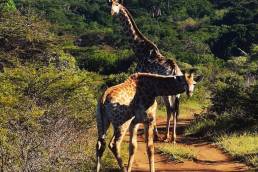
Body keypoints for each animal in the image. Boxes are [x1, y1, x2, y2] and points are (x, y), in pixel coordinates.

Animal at [109, 0, 183, 142]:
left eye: (117, 6)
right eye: (109, 4)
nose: (111, 13)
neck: (138, 50)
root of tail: (175, 71)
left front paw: (154, 134)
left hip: (167, 92)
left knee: (170, 109)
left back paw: (167, 136)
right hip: (177, 93)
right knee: (174, 110)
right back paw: (173, 137)